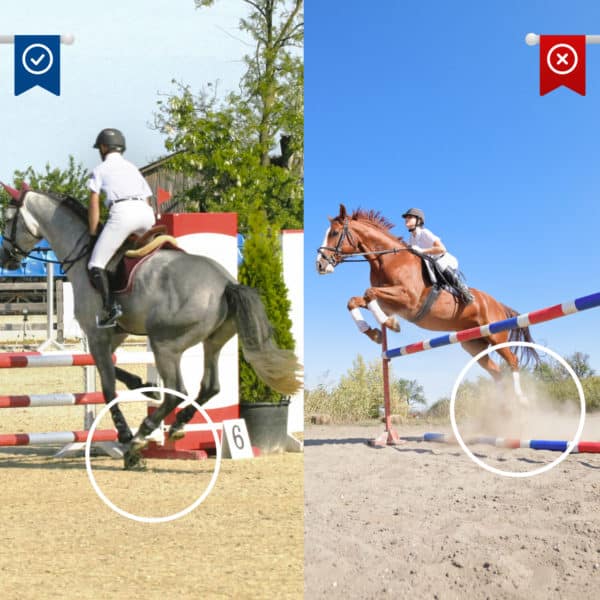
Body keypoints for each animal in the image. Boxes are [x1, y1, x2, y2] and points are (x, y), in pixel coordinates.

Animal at [0, 188, 300, 468]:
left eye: (8, 218)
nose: (8, 258)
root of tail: (226, 283)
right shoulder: (115, 333)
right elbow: (115, 370)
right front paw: (146, 387)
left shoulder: (96, 334)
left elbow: (108, 387)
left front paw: (126, 438)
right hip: (212, 342)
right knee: (209, 386)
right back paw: (177, 425)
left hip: (165, 345)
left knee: (178, 390)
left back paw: (142, 435)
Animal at [316, 205, 536, 398]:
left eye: (334, 233)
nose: (319, 264)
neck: (387, 260)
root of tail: (498, 304)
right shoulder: (388, 303)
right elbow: (354, 301)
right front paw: (375, 333)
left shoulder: (408, 299)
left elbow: (369, 293)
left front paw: (390, 324)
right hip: (474, 343)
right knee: (496, 371)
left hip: (496, 335)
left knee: (513, 360)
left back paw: (520, 399)